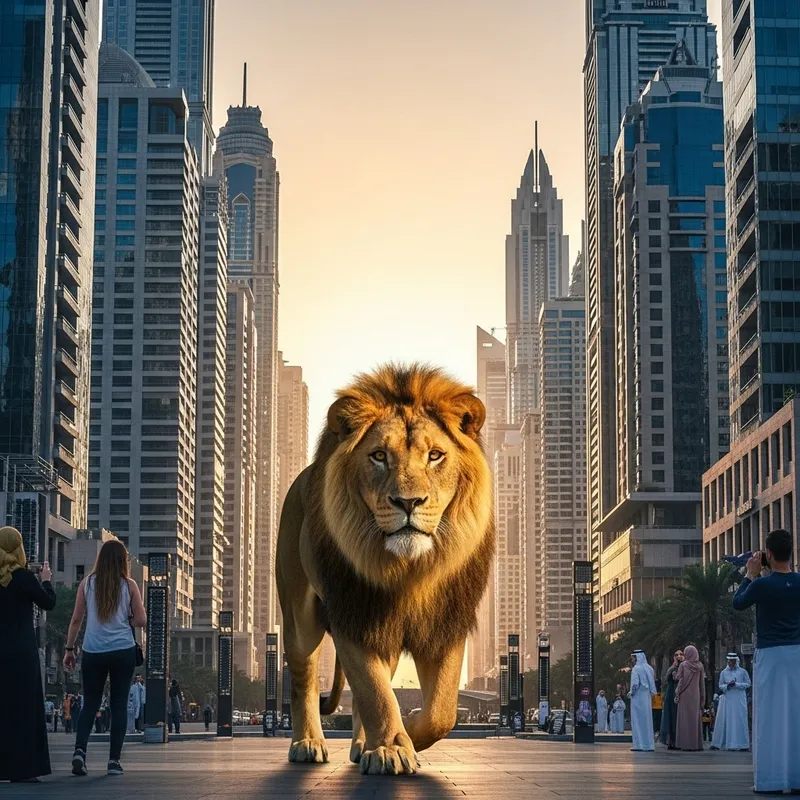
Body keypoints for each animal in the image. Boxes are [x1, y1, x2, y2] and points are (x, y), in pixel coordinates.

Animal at [276, 363, 494, 776]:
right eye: (378, 456)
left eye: (435, 455)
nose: (408, 502)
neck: (408, 571)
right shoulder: (354, 615)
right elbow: (374, 692)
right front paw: (393, 747)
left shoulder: (446, 621)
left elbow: (442, 711)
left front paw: (407, 734)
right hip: (300, 618)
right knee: (304, 680)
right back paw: (308, 743)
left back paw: (364, 744)